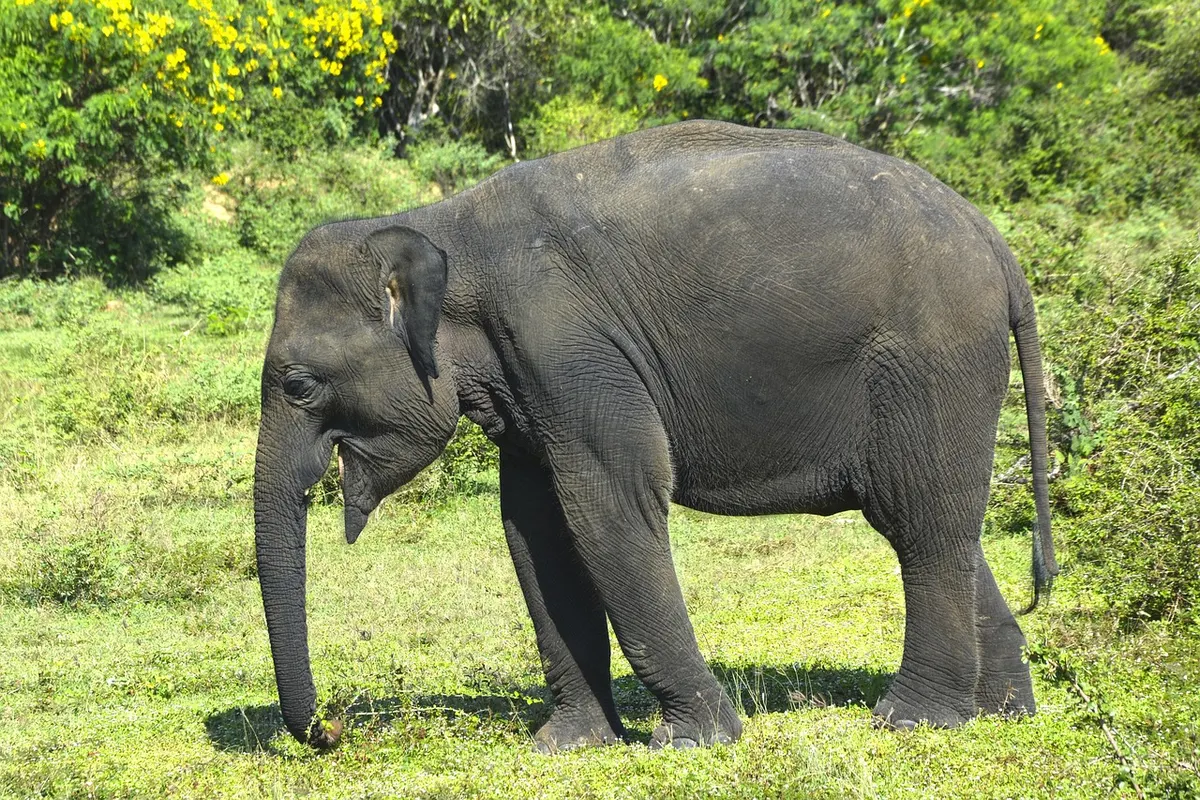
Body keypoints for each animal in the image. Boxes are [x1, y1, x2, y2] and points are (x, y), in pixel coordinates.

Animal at [253, 119, 1057, 753]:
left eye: (299, 386)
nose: (333, 729)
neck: (444, 226)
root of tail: (1000, 248)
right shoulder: (528, 378)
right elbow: (534, 531)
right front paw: (569, 746)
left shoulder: (570, 349)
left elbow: (609, 507)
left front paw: (695, 740)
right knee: (938, 519)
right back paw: (1005, 713)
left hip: (930, 359)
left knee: (917, 519)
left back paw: (912, 722)